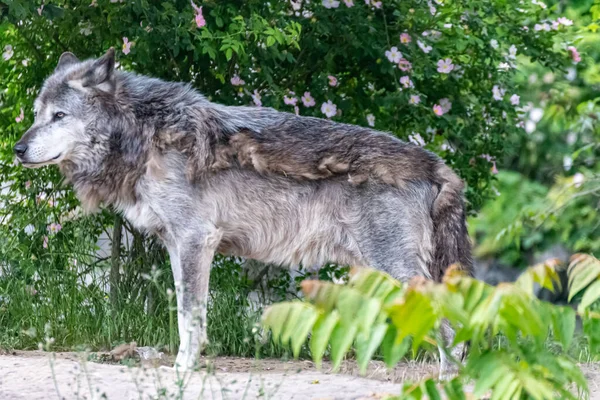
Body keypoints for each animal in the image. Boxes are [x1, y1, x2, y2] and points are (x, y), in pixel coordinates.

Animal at [14, 49, 472, 376]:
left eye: (59, 116)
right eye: (36, 115)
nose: (17, 149)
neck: (143, 137)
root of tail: (435, 163)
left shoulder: (196, 240)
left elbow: (189, 315)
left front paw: (183, 371)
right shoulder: (177, 247)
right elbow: (187, 314)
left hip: (394, 271)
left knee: (450, 327)